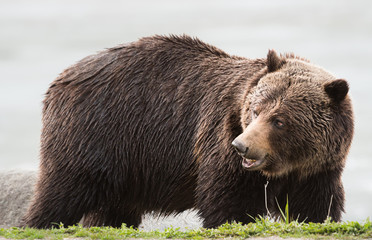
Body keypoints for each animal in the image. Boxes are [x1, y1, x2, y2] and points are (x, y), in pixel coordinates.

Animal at [21, 35, 354, 229]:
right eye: (256, 110)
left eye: (280, 120)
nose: (242, 146)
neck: (288, 166)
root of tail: (60, 78)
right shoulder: (220, 137)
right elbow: (228, 201)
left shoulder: (318, 170)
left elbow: (315, 207)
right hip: (96, 133)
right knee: (61, 191)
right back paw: (38, 222)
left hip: (124, 168)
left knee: (111, 209)